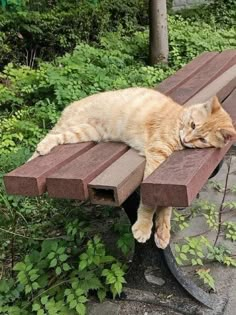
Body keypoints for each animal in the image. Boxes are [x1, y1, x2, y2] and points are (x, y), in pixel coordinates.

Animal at [30, 88, 236, 249]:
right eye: (193, 125)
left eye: (202, 139)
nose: (186, 139)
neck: (178, 120)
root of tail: (73, 103)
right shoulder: (156, 155)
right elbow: (149, 204)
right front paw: (143, 228)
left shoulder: (163, 178)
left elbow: (165, 206)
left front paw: (162, 233)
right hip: (72, 125)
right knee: (49, 137)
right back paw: (38, 154)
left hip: (85, 132)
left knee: (59, 137)